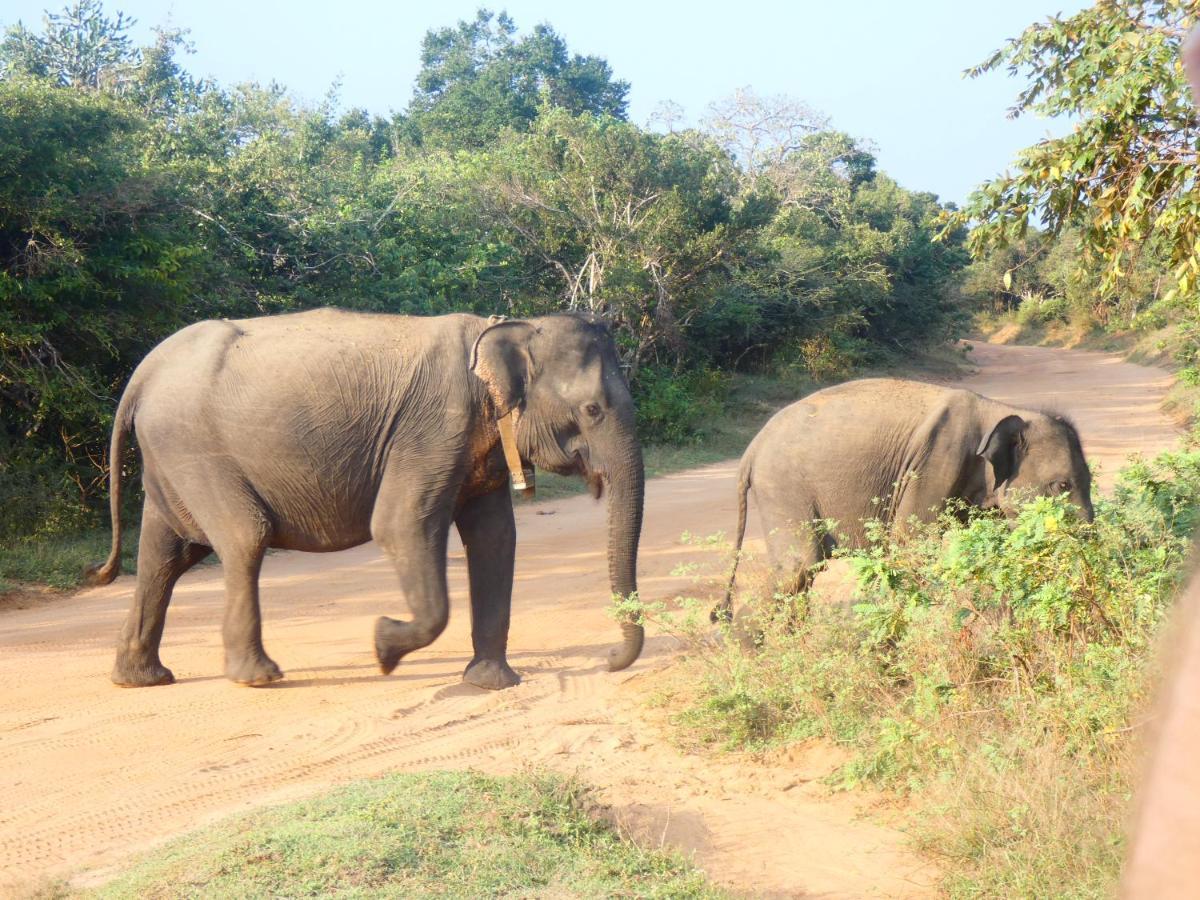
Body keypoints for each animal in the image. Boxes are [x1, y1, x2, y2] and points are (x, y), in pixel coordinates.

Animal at [91, 309, 648, 691]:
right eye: (593, 409)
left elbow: (494, 539)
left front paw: (491, 684)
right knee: (244, 538)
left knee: (165, 555)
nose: (608, 660)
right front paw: (382, 647)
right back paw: (258, 676)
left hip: (171, 459)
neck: (503, 329)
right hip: (194, 449)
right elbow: (400, 526)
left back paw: (141, 678)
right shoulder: (434, 428)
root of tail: (143, 372)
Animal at [710, 376, 1099, 624]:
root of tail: (751, 451)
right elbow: (911, 543)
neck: (1000, 411)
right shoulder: (934, 462)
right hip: (783, 488)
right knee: (800, 568)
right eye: (1061, 485)